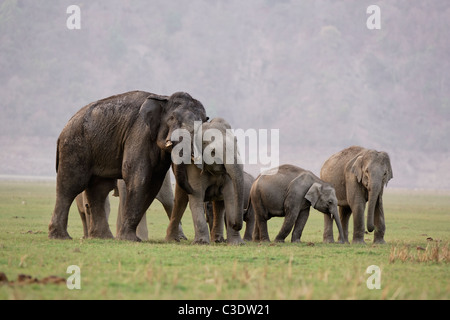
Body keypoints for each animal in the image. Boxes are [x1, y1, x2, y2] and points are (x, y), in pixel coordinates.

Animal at [48, 90, 207, 240]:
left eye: (203, 123)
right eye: (172, 118)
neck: (164, 98)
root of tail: (63, 130)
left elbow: (154, 183)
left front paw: (129, 237)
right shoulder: (139, 133)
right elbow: (137, 176)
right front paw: (130, 239)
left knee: (99, 189)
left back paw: (102, 237)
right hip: (74, 145)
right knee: (71, 184)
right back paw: (60, 237)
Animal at [165, 117, 244, 245]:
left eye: (236, 144)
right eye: (213, 152)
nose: (234, 224)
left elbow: (231, 197)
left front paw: (237, 244)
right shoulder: (193, 168)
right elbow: (196, 198)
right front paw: (201, 243)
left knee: (219, 205)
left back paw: (217, 240)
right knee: (180, 201)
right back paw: (171, 240)